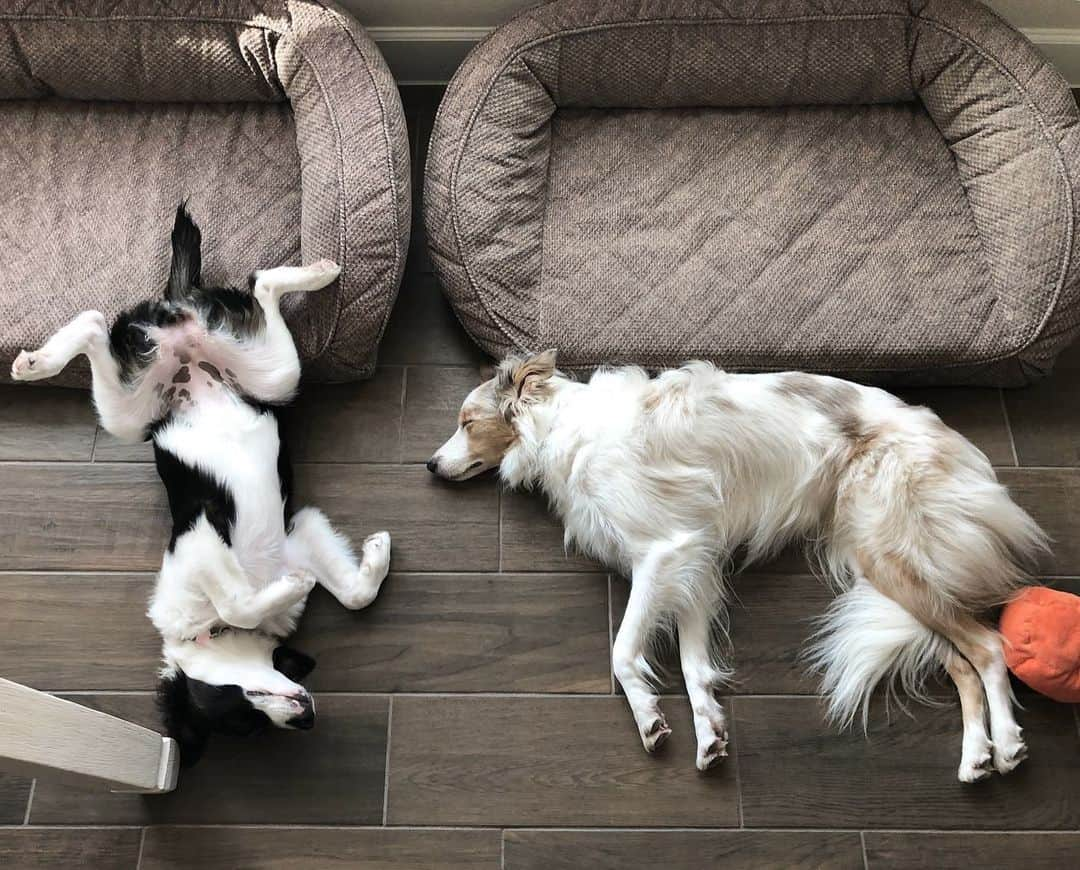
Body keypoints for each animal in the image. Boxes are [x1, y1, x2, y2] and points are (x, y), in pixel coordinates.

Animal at [10, 208, 390, 768]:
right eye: (244, 725)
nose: (307, 717)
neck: (203, 627)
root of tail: (180, 336)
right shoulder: (284, 533)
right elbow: (345, 594)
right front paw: (355, 563)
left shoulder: (215, 537)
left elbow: (269, 598)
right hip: (229, 383)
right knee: (122, 319)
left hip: (184, 401)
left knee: (123, 315)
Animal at [427, 351, 1045, 781]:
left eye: (466, 422)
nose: (430, 465)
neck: (559, 426)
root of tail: (952, 444)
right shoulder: (696, 569)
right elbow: (694, 668)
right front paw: (710, 737)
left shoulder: (664, 552)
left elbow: (624, 654)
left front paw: (650, 721)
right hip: (891, 573)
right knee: (962, 663)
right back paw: (976, 757)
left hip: (894, 556)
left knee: (989, 647)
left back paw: (1010, 745)